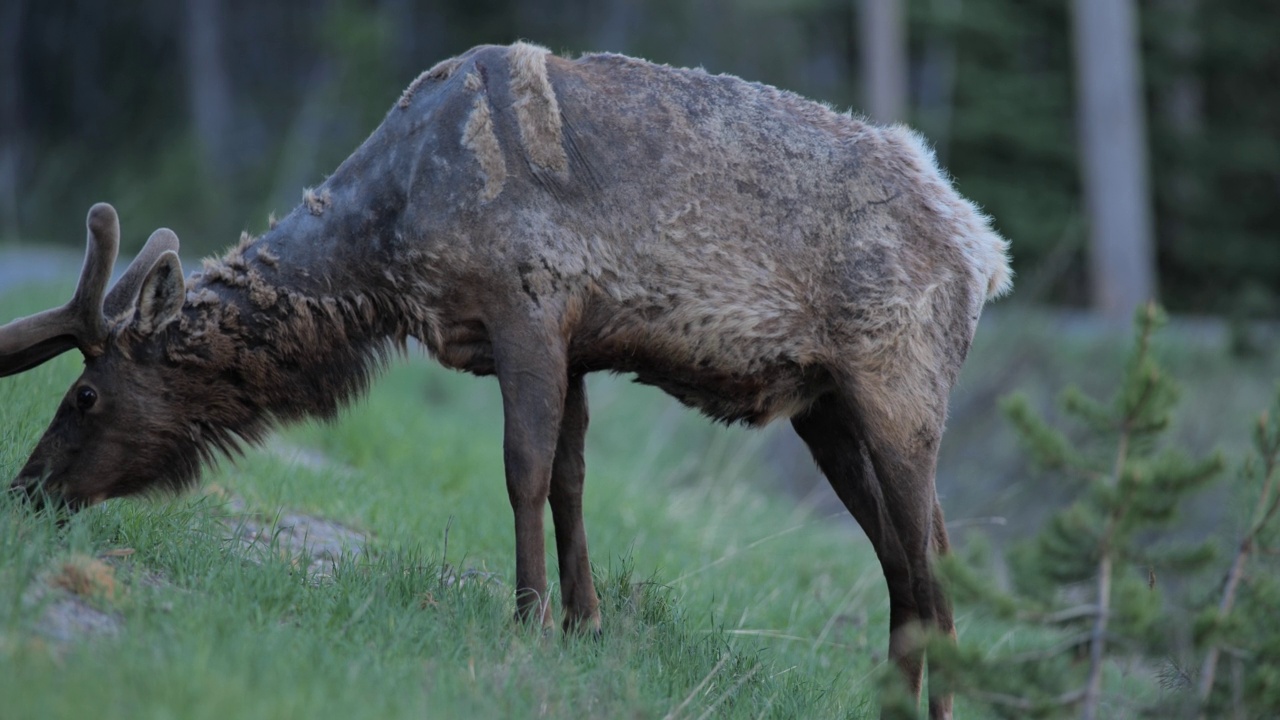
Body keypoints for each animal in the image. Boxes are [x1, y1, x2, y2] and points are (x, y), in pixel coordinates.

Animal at [0, 41, 1003, 712]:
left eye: (84, 394)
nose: (27, 488)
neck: (392, 242)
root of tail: (986, 252)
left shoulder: (530, 305)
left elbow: (524, 469)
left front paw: (526, 619)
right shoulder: (576, 344)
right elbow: (570, 479)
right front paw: (583, 623)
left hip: (900, 390)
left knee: (933, 563)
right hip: (825, 408)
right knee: (903, 567)